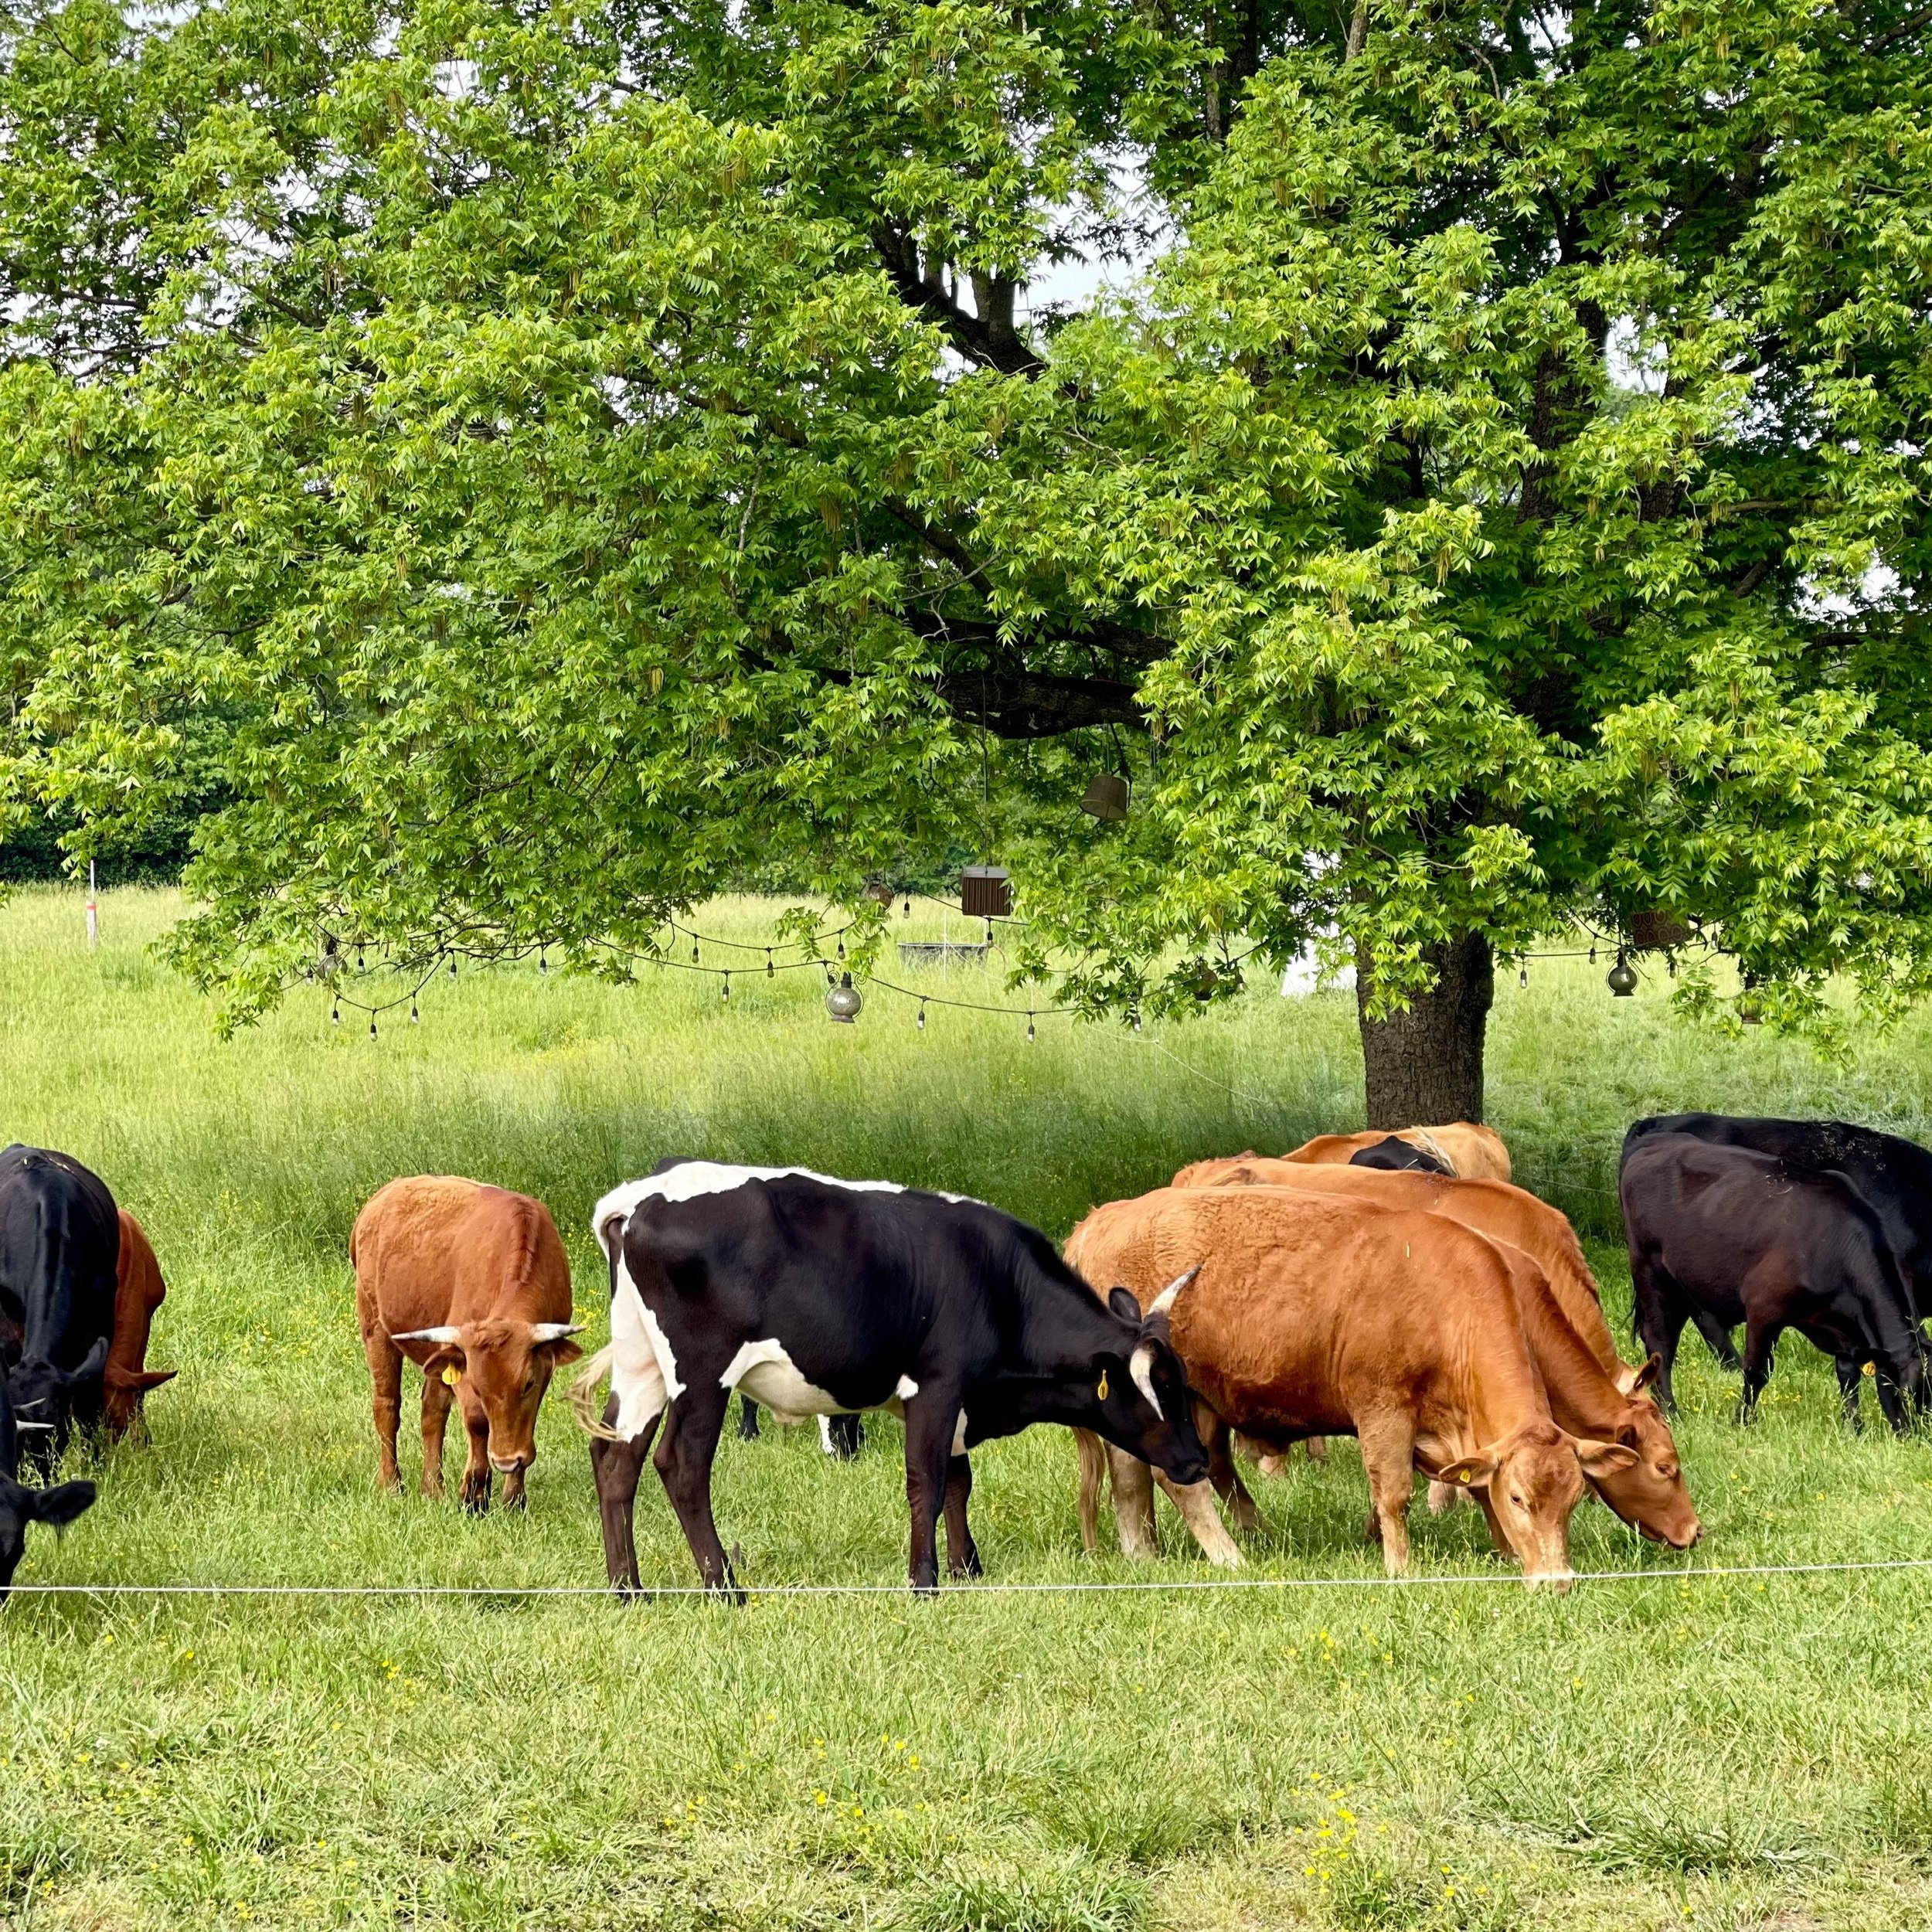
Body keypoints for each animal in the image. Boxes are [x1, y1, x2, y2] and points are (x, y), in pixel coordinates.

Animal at [0, 1145, 118, 1460]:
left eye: (57, 1433)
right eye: (18, 1443)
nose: (42, 1469)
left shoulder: (100, 1324)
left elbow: (89, 1409)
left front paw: (96, 1462)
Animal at [351, 1177, 585, 1511]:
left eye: (527, 1383)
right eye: (477, 1384)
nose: (505, 1461)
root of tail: (383, 1196)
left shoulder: (543, 1367)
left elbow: (526, 1421)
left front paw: (514, 1499)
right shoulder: (464, 1362)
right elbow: (477, 1421)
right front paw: (474, 1495)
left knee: (432, 1411)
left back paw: (433, 1489)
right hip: (375, 1326)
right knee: (387, 1405)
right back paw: (392, 1485)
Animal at [572, 1163, 1208, 1597]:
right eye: (1162, 1390)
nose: (1198, 1460)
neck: (1002, 1285)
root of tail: (641, 1196)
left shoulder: (959, 1403)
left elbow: (959, 1482)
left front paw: (967, 1568)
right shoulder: (936, 1386)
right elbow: (927, 1482)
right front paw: (925, 1581)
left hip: (641, 1367)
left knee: (616, 1460)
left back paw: (628, 1589)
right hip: (702, 1375)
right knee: (681, 1465)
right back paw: (725, 1586)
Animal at [1064, 1187, 1636, 1587]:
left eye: (1575, 1497)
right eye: (1520, 1497)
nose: (1558, 1581)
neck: (1445, 1296)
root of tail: (1098, 1220)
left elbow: (1471, 1485)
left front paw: (1505, 1551)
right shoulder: (1383, 1411)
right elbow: (1394, 1495)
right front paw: (1400, 1568)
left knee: (1136, 1480)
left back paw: (1150, 1552)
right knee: (1177, 1480)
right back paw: (1229, 1556)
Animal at [1624, 1113, 1932, 1420]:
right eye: (1907, 1393)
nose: (1916, 1431)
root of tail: (1653, 1135)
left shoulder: (1847, 1330)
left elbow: (1848, 1375)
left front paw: (1853, 1425)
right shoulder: (1763, 1306)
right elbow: (1757, 1372)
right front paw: (1742, 1421)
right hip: (1650, 1270)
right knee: (1661, 1344)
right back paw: (1671, 1412)